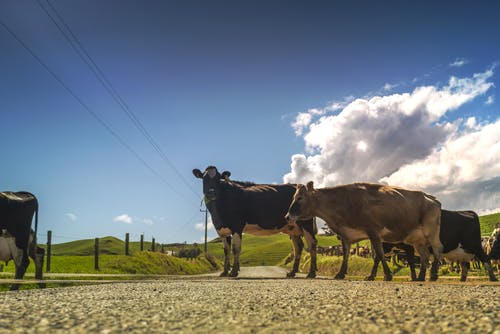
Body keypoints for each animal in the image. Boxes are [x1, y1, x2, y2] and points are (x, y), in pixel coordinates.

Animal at [286, 181, 442, 280]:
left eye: (300, 198)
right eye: (293, 197)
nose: (287, 216)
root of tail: (431, 198)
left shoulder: (373, 232)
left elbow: (379, 254)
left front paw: (387, 275)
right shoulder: (346, 235)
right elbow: (346, 255)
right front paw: (341, 274)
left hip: (431, 232)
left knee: (437, 250)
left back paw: (433, 275)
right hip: (418, 240)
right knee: (425, 256)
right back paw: (421, 277)